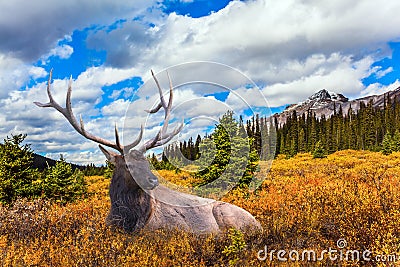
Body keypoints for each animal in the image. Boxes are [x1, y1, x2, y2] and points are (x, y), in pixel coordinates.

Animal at [35, 69, 262, 234]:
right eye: (128, 164)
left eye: (147, 161)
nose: (153, 180)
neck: (129, 221)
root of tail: (259, 225)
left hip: (226, 214)